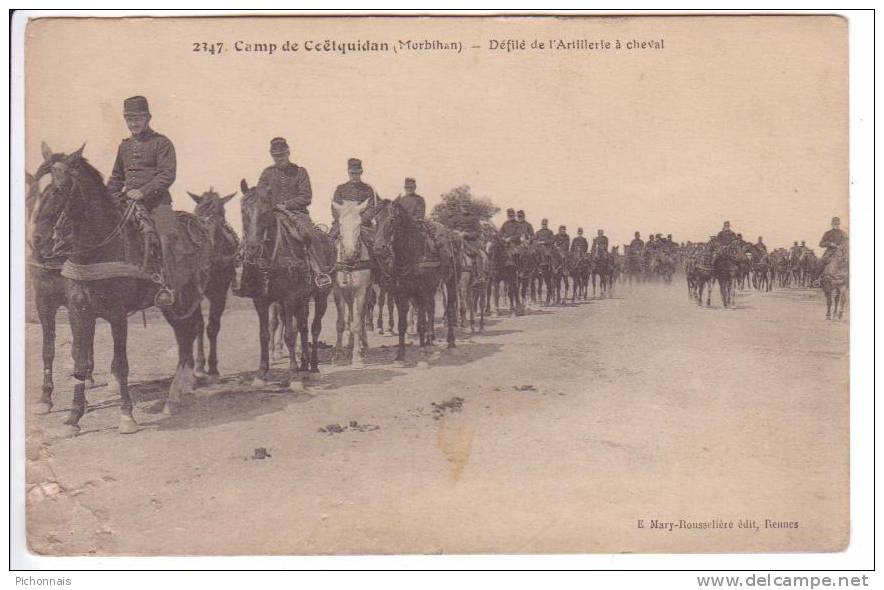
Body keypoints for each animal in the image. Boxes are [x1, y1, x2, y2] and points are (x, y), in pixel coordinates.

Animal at [45, 146, 212, 438]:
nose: (54, 234)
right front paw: (73, 419)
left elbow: (120, 365)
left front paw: (126, 417)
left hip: (181, 299)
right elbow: (80, 363)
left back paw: (173, 397)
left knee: (185, 337)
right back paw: (180, 394)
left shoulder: (117, 315)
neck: (96, 250)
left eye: (60, 186)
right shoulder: (79, 312)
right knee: (184, 336)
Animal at [187, 188, 238, 384]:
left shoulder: (220, 294)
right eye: (197, 216)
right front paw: (199, 366)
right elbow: (199, 326)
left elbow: (213, 327)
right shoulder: (195, 293)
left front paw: (213, 367)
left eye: (221, 219)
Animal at [238, 178, 332, 386]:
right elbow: (264, 335)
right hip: (302, 299)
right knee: (303, 327)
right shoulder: (261, 300)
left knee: (314, 328)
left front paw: (293, 374)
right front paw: (261, 374)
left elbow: (290, 334)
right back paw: (304, 365)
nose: (252, 249)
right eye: (243, 210)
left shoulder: (288, 298)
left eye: (266, 211)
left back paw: (313, 368)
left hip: (321, 296)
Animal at [370, 201, 460, 364]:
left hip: (449, 283)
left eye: (392, 220)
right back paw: (429, 340)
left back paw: (451, 343)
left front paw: (423, 349)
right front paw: (400, 356)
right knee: (430, 309)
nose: (378, 248)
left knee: (449, 309)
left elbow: (421, 320)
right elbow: (403, 323)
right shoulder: (401, 293)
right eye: (376, 220)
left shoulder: (422, 291)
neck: (412, 253)